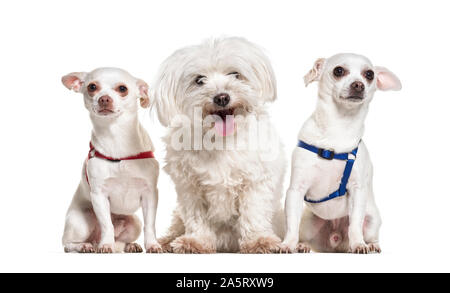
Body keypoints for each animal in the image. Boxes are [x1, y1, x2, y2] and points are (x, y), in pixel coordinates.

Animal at [151, 36, 284, 251]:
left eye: (235, 74)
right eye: (199, 80)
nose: (221, 97)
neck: (221, 140)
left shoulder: (255, 181)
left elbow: (253, 212)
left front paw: (258, 240)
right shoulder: (190, 188)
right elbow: (196, 218)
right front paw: (196, 241)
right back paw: (164, 242)